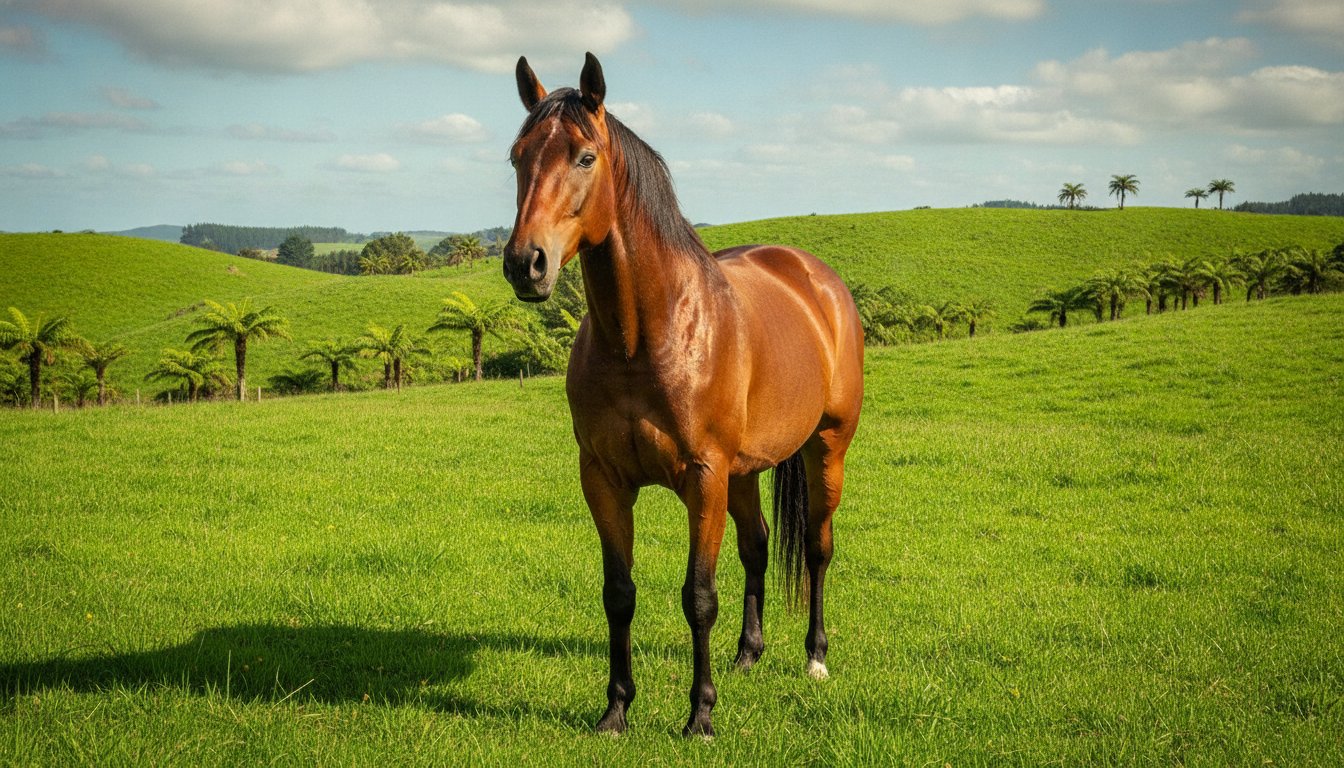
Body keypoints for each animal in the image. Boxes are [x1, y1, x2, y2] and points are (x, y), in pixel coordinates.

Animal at [502, 53, 864, 738]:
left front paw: (700, 715)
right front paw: (616, 709)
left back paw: (815, 658)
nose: (525, 264)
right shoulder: (605, 478)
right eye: (516, 157)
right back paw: (748, 655)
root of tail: (816, 277)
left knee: (818, 548)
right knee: (757, 547)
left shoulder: (703, 477)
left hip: (824, 449)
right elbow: (619, 594)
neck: (643, 339)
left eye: (584, 157)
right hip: (744, 472)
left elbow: (698, 596)